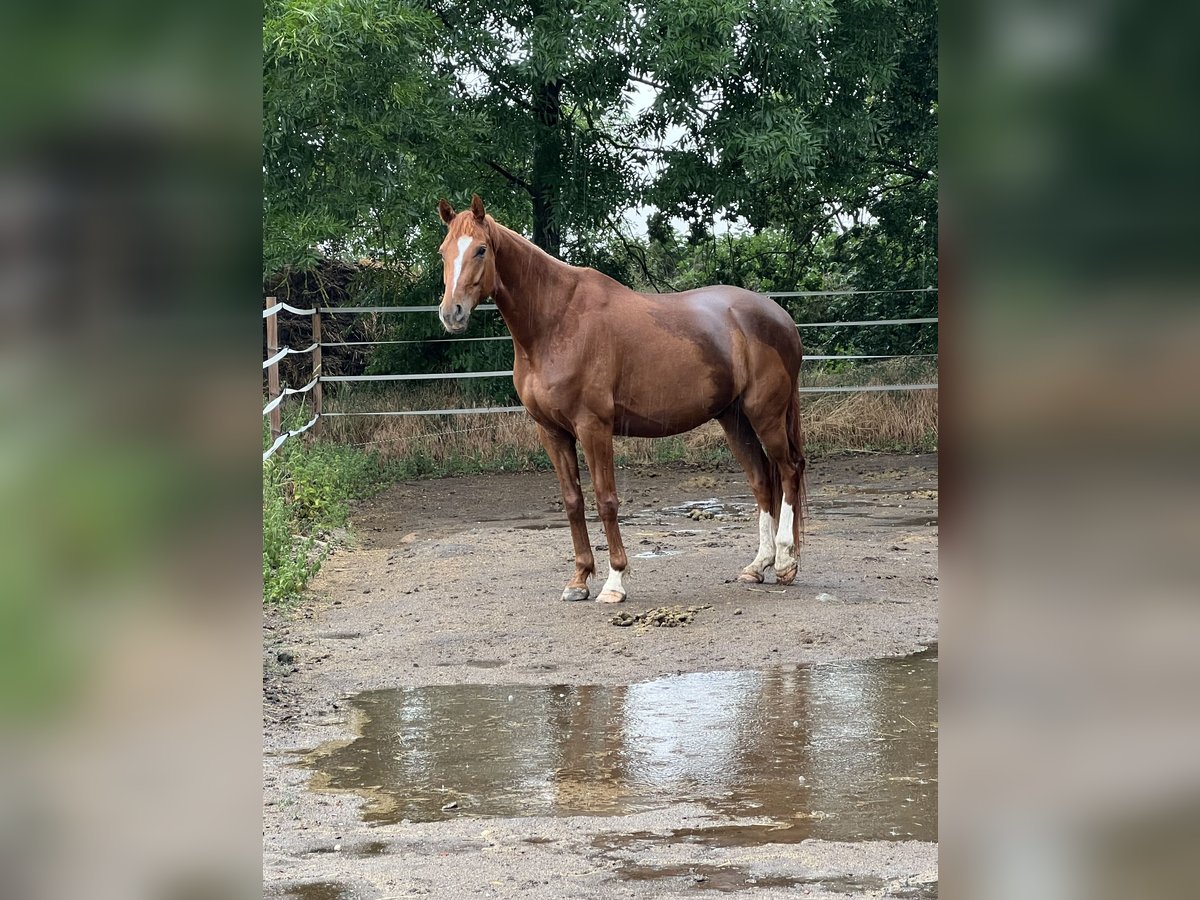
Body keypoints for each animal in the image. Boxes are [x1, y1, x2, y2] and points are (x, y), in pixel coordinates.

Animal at [434, 196, 806, 607]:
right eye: (443, 252)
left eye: (481, 249)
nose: (451, 313)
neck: (557, 322)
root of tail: (781, 317)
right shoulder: (552, 431)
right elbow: (573, 501)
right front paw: (579, 580)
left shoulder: (593, 427)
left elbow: (605, 500)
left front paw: (614, 583)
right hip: (733, 418)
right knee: (762, 481)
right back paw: (758, 566)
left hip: (765, 413)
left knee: (788, 470)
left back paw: (786, 562)